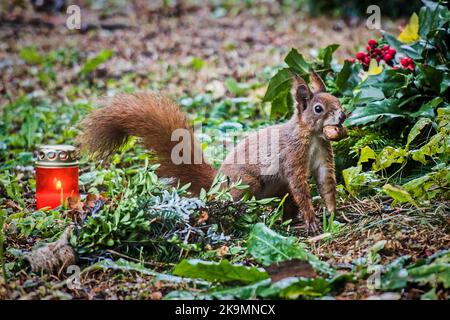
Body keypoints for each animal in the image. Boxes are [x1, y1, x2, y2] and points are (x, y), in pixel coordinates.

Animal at [77, 72, 346, 232]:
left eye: (337, 99)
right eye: (318, 108)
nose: (343, 115)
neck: (313, 136)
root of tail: (215, 183)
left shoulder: (323, 156)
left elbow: (326, 183)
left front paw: (332, 213)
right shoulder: (292, 156)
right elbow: (300, 187)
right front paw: (312, 220)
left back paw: (289, 219)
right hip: (245, 184)